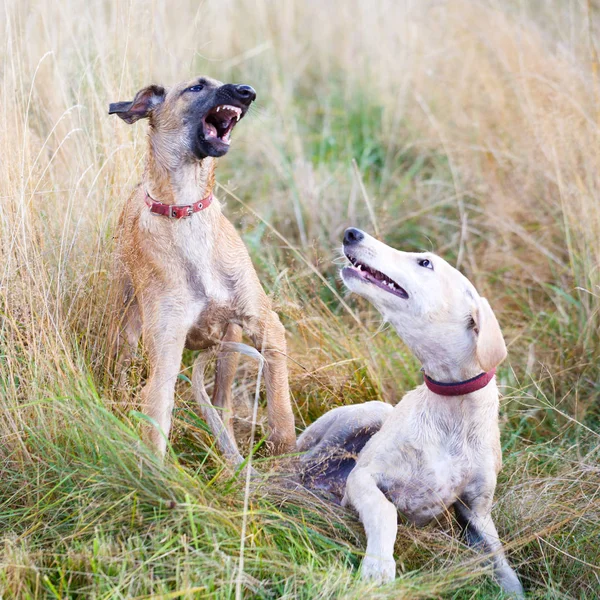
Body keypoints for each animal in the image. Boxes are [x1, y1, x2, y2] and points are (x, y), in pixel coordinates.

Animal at [109, 76, 296, 464]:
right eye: (196, 88)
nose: (248, 91)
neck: (186, 211)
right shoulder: (165, 349)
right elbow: (155, 421)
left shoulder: (266, 325)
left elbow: (281, 403)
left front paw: (283, 452)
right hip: (126, 326)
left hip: (228, 347)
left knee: (223, 403)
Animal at [298, 229, 524, 596]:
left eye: (424, 263)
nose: (351, 233)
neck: (452, 410)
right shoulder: (363, 478)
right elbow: (385, 510)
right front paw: (378, 568)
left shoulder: (477, 513)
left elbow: (502, 563)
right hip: (361, 418)